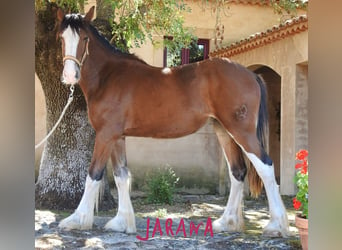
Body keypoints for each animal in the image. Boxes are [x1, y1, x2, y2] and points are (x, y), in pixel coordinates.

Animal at [55, 5, 288, 236]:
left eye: (84, 38)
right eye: (61, 38)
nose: (70, 75)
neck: (109, 76)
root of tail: (251, 74)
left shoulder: (105, 134)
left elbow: (93, 174)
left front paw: (77, 219)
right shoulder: (117, 136)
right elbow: (122, 176)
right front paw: (122, 222)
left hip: (241, 131)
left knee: (266, 167)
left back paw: (276, 225)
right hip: (224, 130)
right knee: (238, 172)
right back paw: (226, 222)